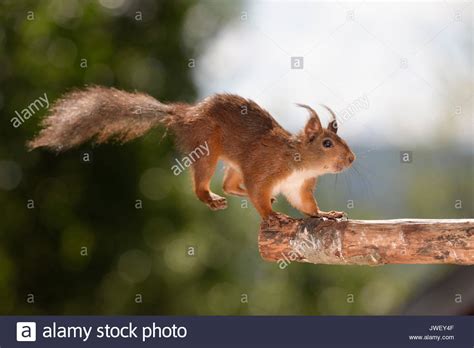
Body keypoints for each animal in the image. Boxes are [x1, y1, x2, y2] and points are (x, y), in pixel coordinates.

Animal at [27, 85, 354, 219]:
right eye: (327, 143)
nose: (351, 159)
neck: (298, 162)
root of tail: (184, 115)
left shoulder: (299, 187)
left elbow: (306, 206)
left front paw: (325, 214)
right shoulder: (264, 169)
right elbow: (258, 193)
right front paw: (273, 216)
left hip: (231, 161)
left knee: (230, 184)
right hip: (206, 149)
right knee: (205, 185)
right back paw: (210, 198)